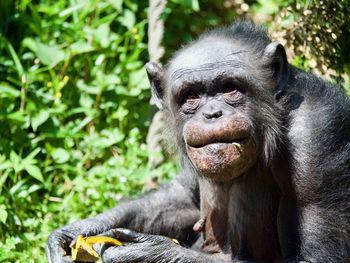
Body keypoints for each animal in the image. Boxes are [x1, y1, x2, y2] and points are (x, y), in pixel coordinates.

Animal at [47, 21, 350, 262]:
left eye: (230, 89)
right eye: (191, 96)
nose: (212, 114)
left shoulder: (317, 135)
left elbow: (318, 257)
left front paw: (150, 254)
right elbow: (185, 196)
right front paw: (76, 232)